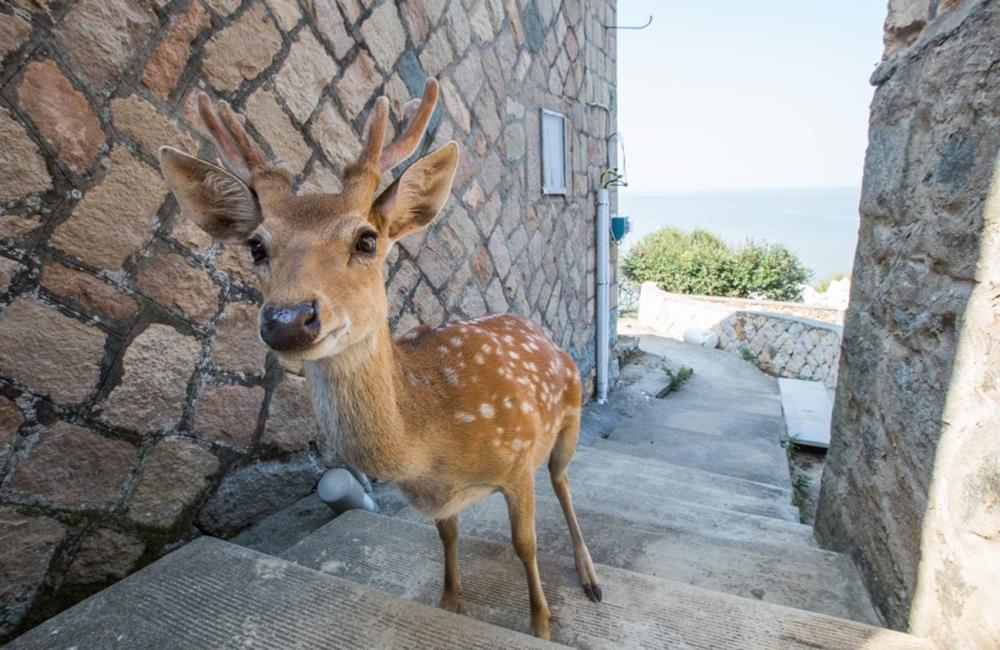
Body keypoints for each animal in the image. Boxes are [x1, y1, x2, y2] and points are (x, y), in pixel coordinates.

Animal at [161, 78, 600, 636]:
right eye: (257, 246)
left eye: (366, 239)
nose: (289, 319)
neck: (431, 442)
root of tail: (541, 332)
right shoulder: (440, 500)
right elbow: (447, 538)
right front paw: (449, 603)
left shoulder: (518, 460)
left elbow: (526, 545)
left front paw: (540, 625)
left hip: (571, 416)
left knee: (562, 480)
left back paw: (590, 576)